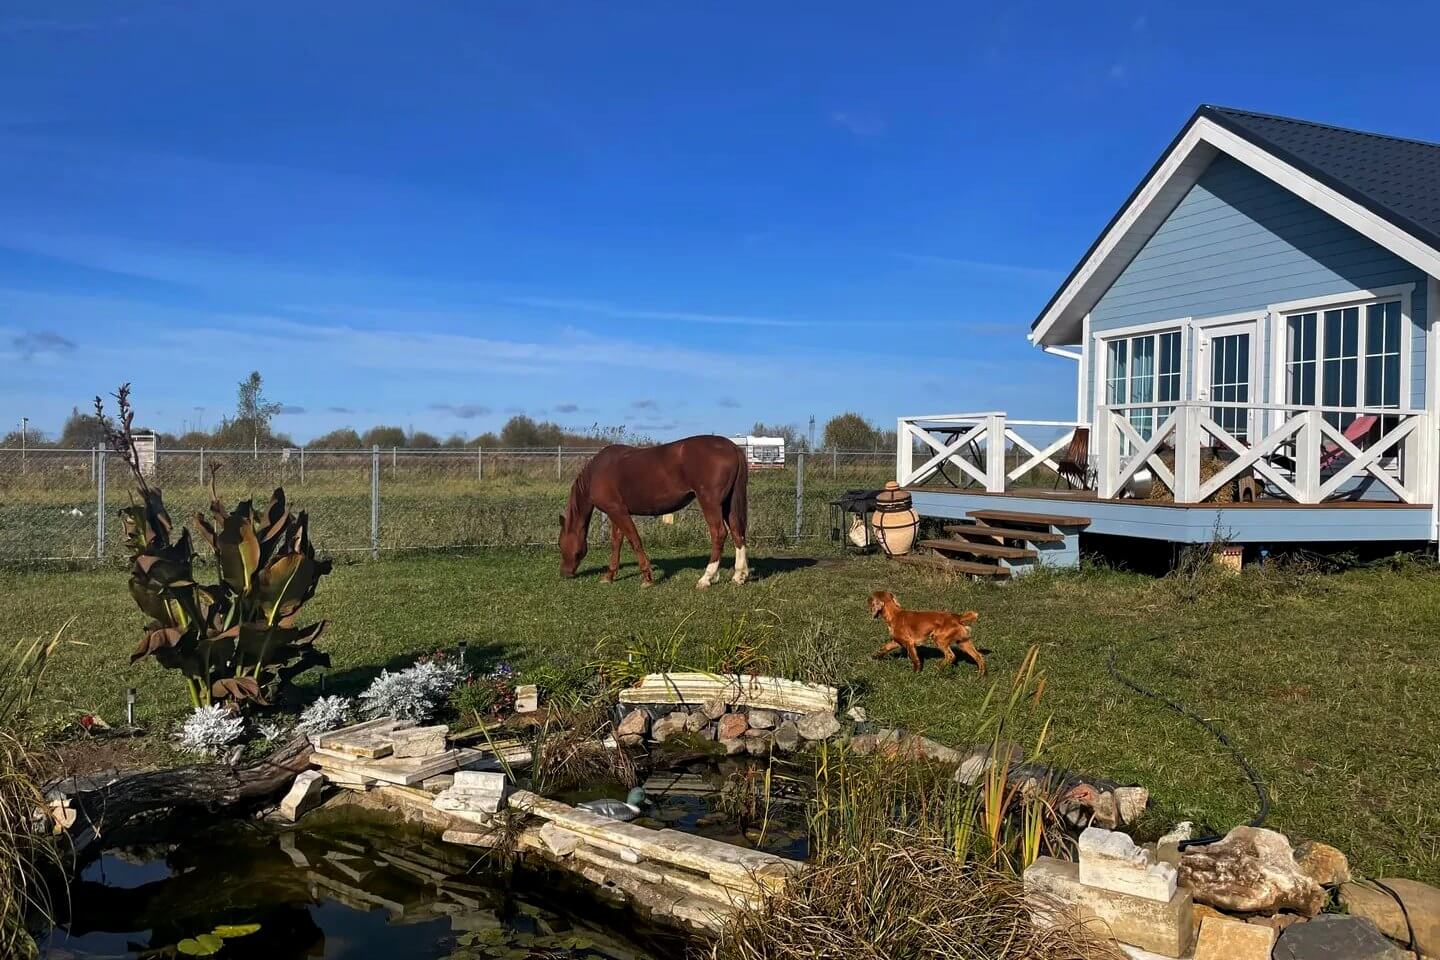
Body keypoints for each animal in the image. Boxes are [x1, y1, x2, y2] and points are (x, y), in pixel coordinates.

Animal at [555, 434, 748, 587]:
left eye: (560, 543)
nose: (564, 572)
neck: (597, 472)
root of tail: (732, 447)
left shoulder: (617, 512)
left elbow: (634, 540)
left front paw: (647, 578)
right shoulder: (616, 512)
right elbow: (616, 542)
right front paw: (609, 576)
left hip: (710, 503)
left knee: (719, 534)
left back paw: (706, 578)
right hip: (728, 504)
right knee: (737, 532)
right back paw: (739, 575)